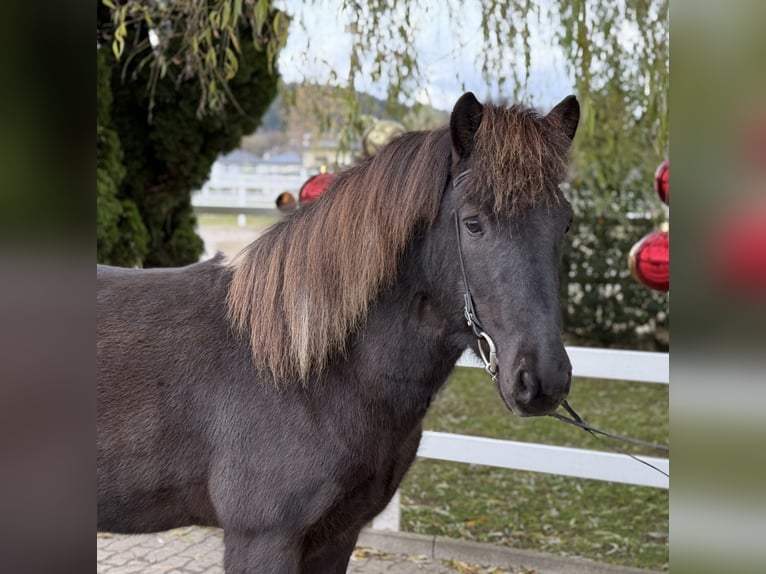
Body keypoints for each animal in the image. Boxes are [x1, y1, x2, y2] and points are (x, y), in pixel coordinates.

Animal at [97, 92, 576, 572]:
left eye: (566, 223)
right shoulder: (263, 541)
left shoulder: (338, 535)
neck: (303, 371)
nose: (542, 379)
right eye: (474, 222)